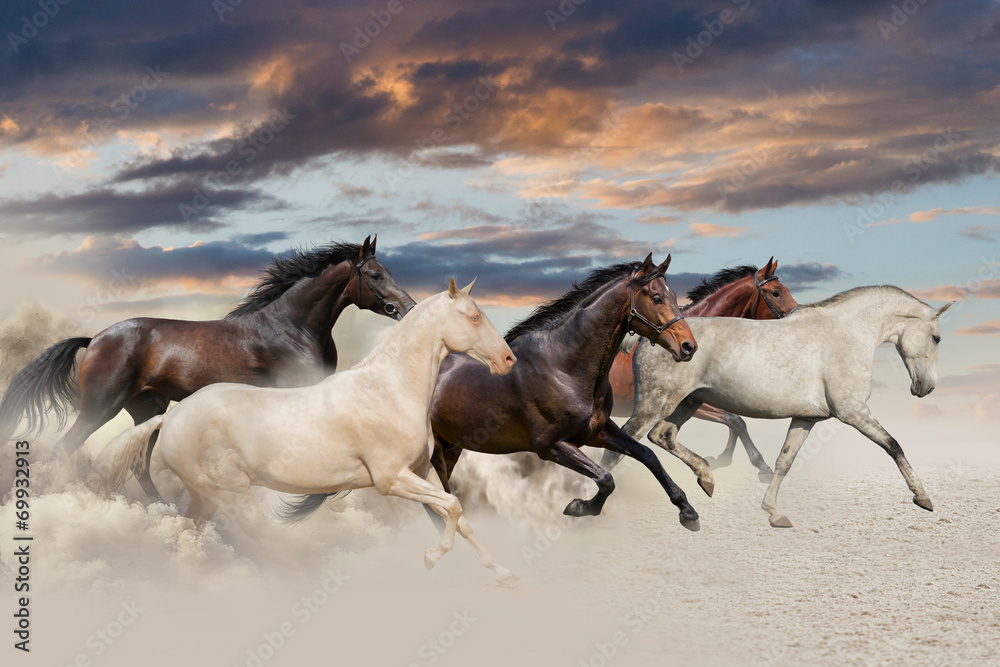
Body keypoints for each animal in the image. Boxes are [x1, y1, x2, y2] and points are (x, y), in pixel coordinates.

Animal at [0, 232, 414, 498]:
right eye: (375, 274)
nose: (407, 308)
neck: (291, 327)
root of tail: (96, 338)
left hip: (148, 409)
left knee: (139, 464)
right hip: (101, 407)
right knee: (64, 449)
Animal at [92, 280, 524, 588]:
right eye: (472, 317)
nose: (508, 360)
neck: (388, 389)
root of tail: (172, 417)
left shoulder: (422, 471)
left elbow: (459, 514)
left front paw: (503, 574)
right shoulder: (392, 479)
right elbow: (452, 507)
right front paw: (431, 559)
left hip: (208, 497)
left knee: (194, 531)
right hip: (225, 493)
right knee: (240, 532)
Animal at [596, 286, 956, 528]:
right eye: (937, 338)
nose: (925, 388)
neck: (846, 334)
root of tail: (648, 337)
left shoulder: (806, 418)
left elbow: (784, 462)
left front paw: (774, 512)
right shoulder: (853, 412)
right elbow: (893, 445)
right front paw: (923, 497)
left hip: (687, 403)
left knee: (663, 436)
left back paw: (706, 478)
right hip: (655, 404)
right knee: (621, 449)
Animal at [604, 258, 800, 482]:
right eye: (776, 292)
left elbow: (735, 421)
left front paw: (721, 460)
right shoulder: (693, 402)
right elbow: (735, 420)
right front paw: (760, 465)